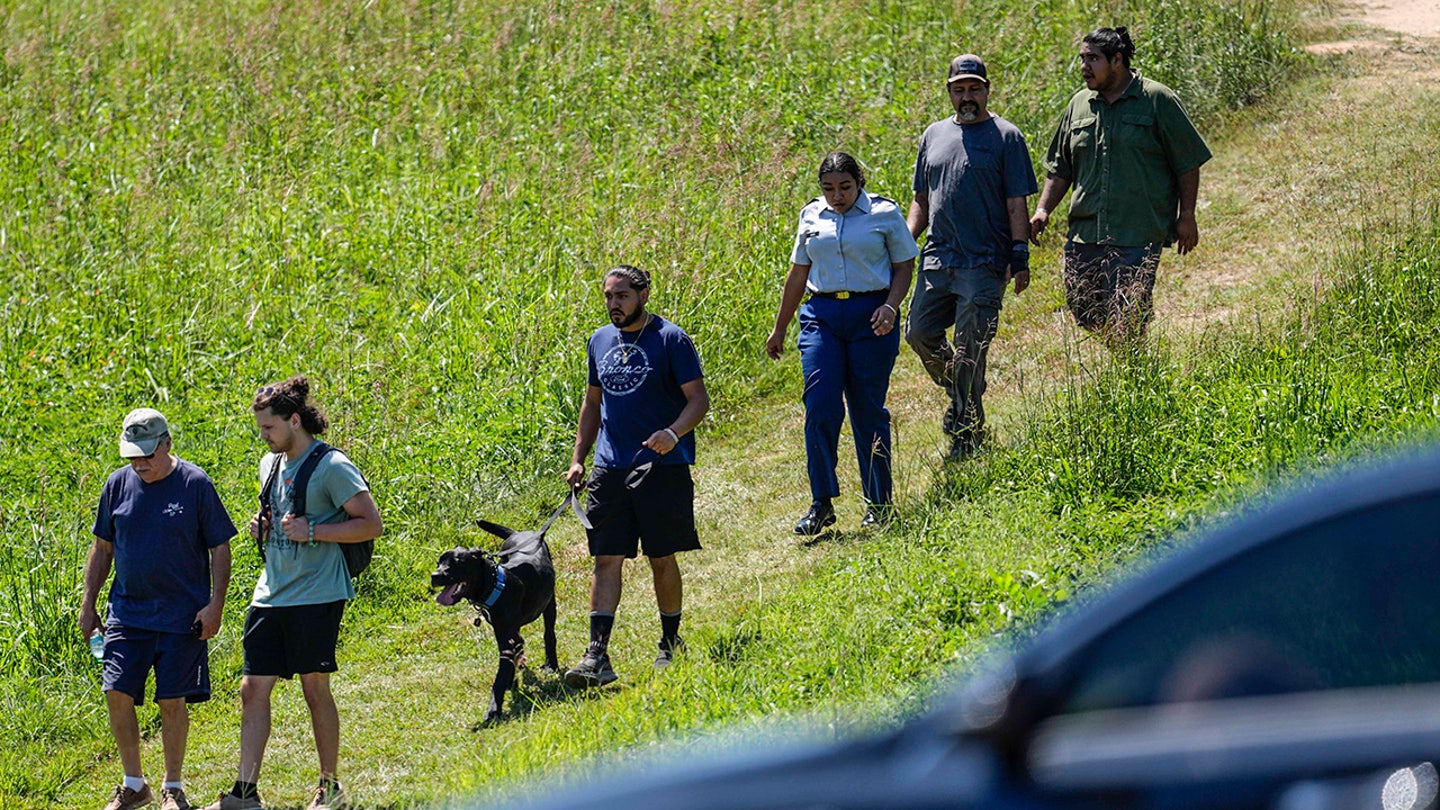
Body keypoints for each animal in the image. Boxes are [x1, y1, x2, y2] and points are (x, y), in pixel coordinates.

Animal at [429, 504, 558, 726]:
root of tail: (520, 533)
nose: (434, 576)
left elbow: (499, 679)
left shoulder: (506, 638)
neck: (493, 584)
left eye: (456, 563)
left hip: (549, 603)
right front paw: (509, 684)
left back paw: (552, 665)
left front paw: (493, 710)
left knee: (549, 634)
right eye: (439, 562)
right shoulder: (501, 633)